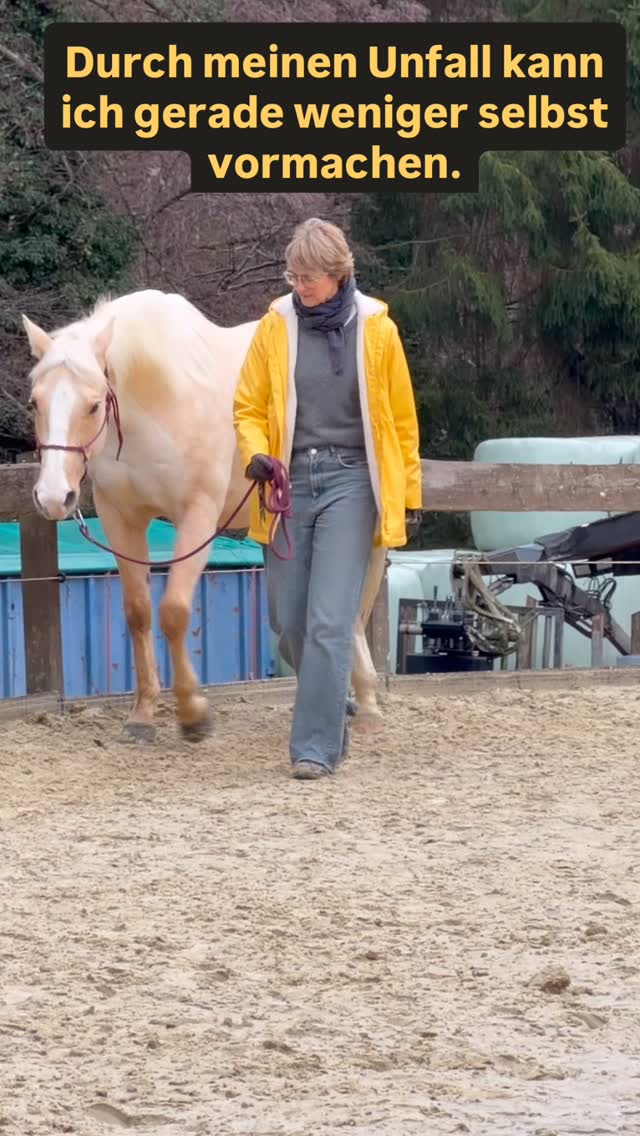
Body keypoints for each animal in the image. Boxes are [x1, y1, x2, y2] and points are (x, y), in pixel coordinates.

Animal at [22, 288, 385, 741]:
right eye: (35, 402)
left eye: (92, 406)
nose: (55, 496)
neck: (159, 401)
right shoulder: (121, 517)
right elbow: (139, 613)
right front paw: (142, 715)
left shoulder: (197, 517)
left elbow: (175, 612)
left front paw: (193, 713)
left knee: (355, 608)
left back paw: (366, 704)